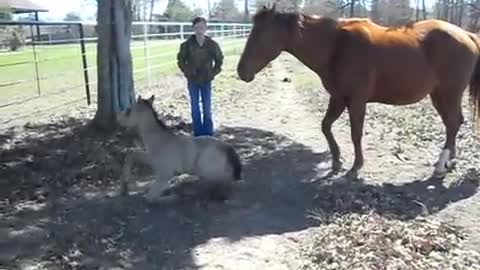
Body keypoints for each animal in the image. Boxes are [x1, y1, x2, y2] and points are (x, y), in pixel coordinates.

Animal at [236, 5, 480, 179]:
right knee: (454, 123)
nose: (241, 71)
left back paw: (441, 166)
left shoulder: (356, 101)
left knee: (452, 123)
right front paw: (336, 161)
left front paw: (356, 166)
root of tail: (467, 35)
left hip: (448, 93)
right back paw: (449, 162)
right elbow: (325, 126)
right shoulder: (338, 98)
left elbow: (355, 133)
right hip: (440, 95)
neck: (337, 45)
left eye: (261, 35)